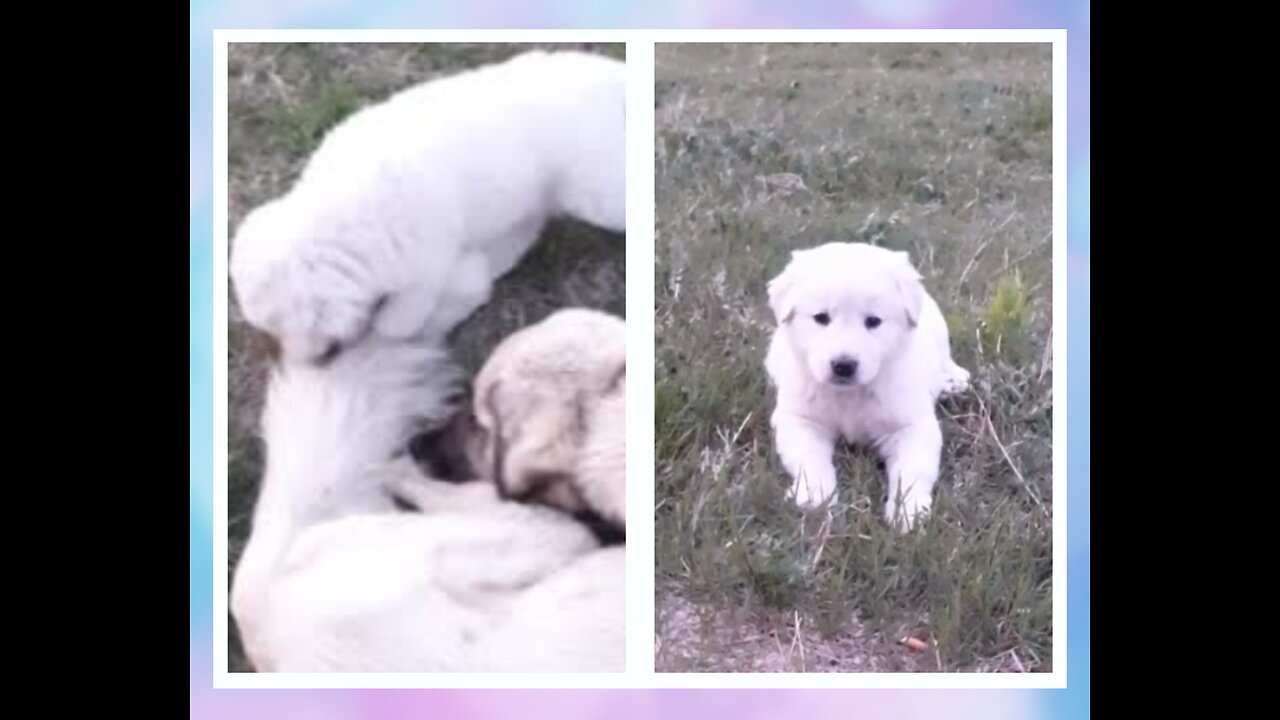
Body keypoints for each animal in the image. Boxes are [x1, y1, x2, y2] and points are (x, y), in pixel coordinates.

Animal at [231, 49, 629, 363]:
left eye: (288, 327)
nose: (302, 363)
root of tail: (612, 77)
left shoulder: (423, 269)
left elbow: (397, 322)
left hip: (596, 187)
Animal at [762, 240, 962, 527]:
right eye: (821, 318)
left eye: (873, 321)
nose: (844, 365)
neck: (849, 394)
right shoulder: (800, 419)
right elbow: (810, 459)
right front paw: (815, 497)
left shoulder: (912, 426)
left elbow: (913, 470)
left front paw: (908, 511)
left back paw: (953, 380)